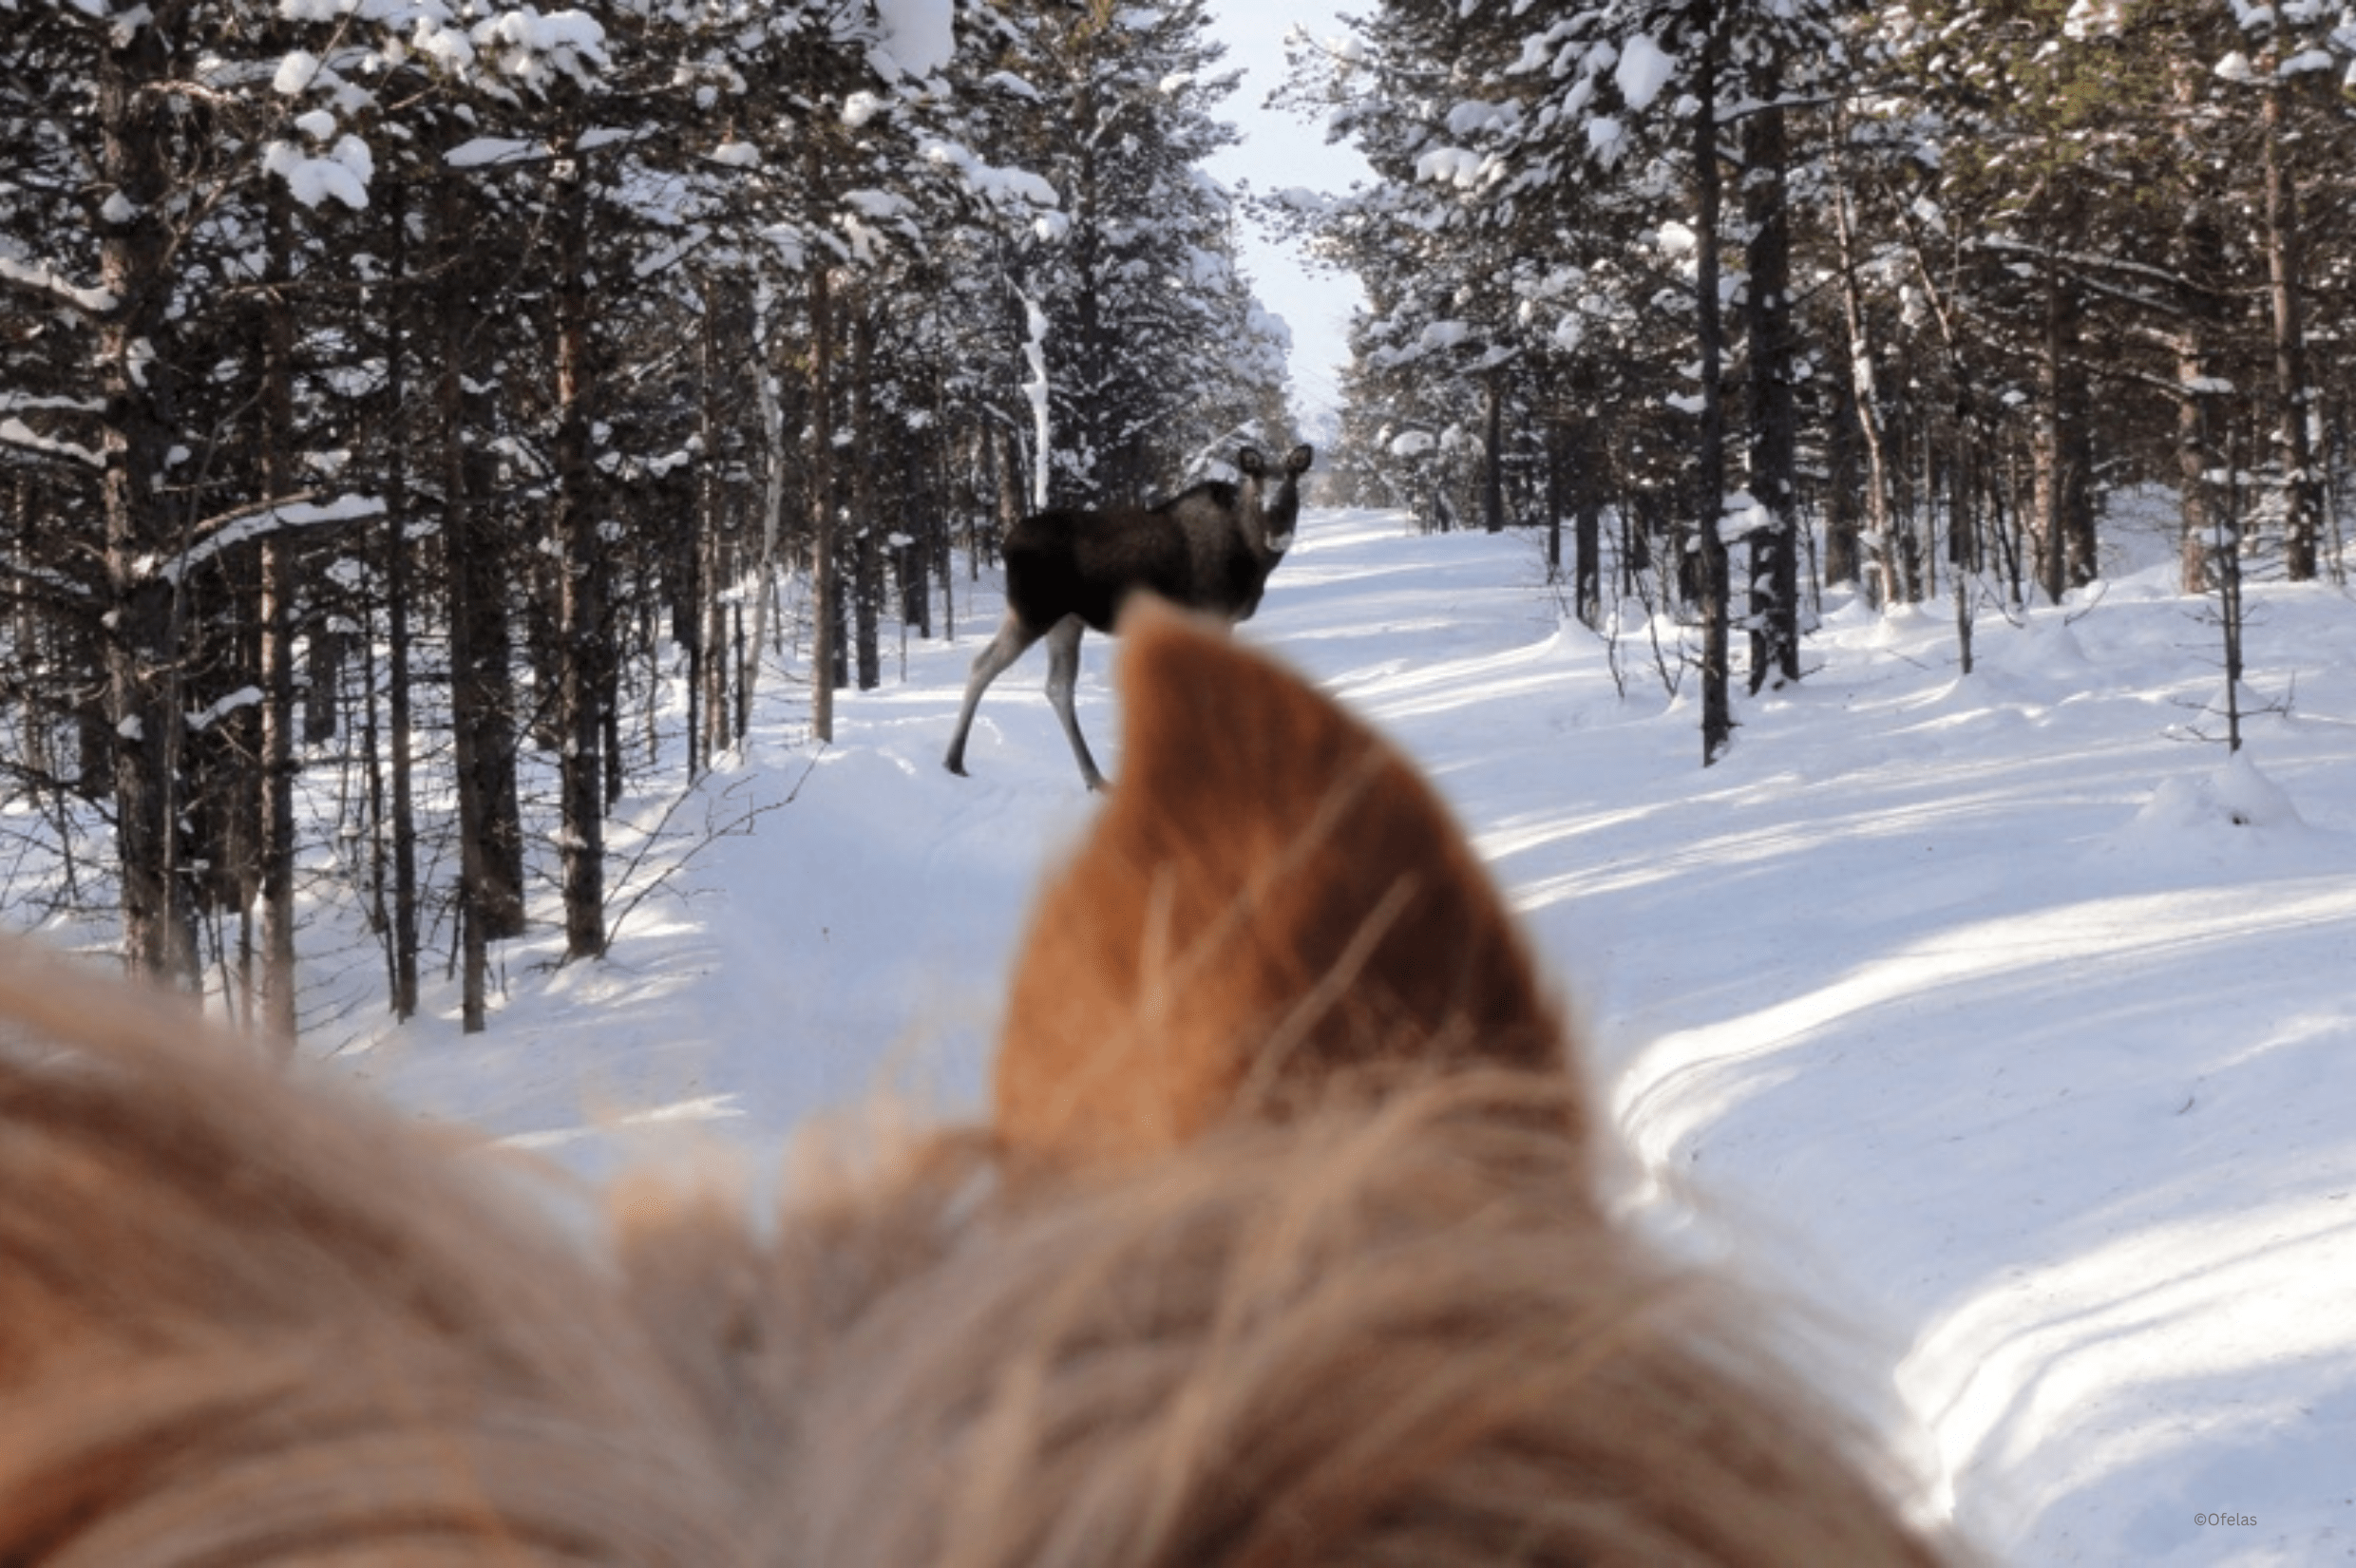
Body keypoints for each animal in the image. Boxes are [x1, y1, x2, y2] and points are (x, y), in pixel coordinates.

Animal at [944, 442, 1314, 790]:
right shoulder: (1211, 616)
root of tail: (1006, 545)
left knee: (1058, 686)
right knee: (982, 665)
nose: (1279, 534)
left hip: (1066, 621)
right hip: (1033, 613)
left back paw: (1094, 777)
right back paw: (953, 759)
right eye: (1261, 494)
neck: (1250, 558)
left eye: (1292, 491)